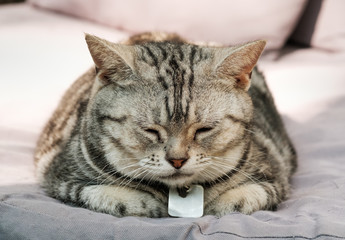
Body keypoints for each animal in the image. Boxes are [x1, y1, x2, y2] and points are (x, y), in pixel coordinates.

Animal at [35, 32, 298, 218]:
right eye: (150, 130)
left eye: (203, 130)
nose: (177, 160)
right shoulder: (64, 178)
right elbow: (117, 198)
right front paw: (150, 203)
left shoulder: (272, 177)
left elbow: (238, 200)